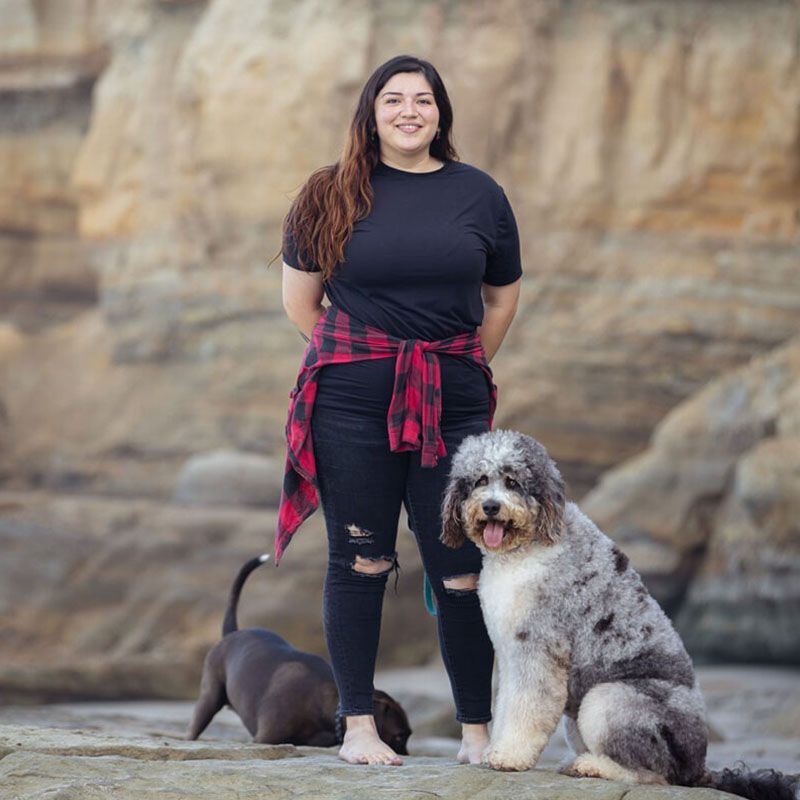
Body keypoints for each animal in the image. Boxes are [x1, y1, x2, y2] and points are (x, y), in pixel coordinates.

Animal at [188, 556, 412, 752]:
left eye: (408, 734)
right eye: (399, 736)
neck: (325, 702)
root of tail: (232, 633)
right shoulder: (264, 739)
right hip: (210, 698)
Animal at [440, 432, 796, 800]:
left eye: (512, 481)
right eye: (480, 480)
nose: (491, 506)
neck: (529, 546)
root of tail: (698, 766)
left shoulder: (538, 647)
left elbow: (527, 706)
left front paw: (509, 756)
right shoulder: (511, 652)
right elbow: (508, 703)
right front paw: (497, 748)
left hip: (610, 699)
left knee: (651, 773)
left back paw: (591, 766)